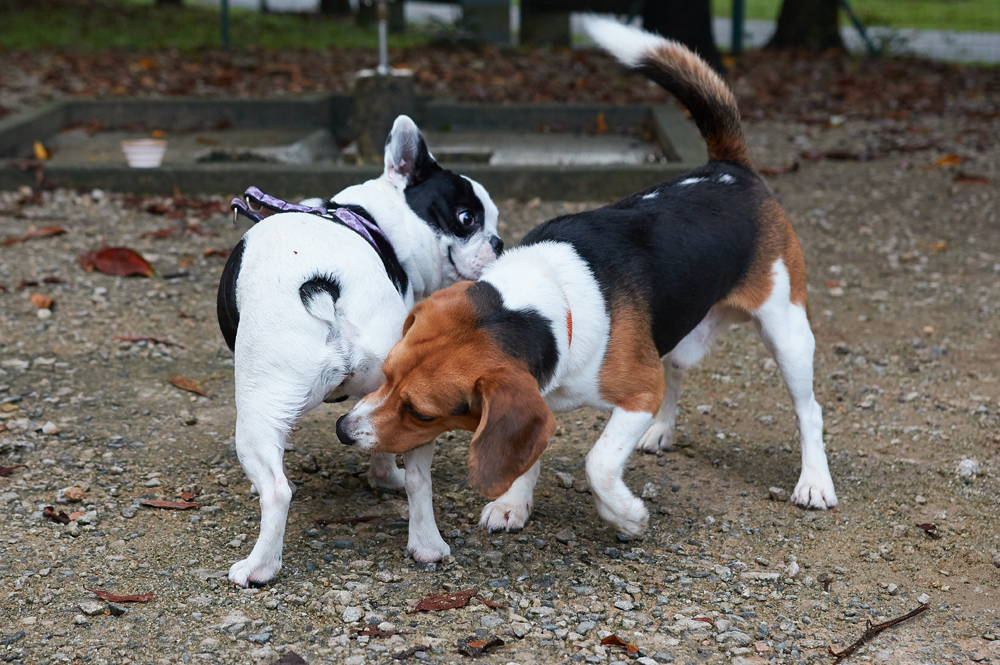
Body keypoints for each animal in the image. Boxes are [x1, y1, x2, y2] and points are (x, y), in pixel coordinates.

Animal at [217, 116, 500, 584]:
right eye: (467, 218)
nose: (498, 241)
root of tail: (326, 284)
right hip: (407, 396)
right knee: (419, 479)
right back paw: (427, 545)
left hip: (257, 407)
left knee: (276, 491)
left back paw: (258, 567)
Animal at [334, 18, 836, 560]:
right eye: (385, 374)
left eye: (420, 413)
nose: (343, 430)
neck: (542, 303)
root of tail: (729, 170)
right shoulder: (540, 394)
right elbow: (527, 454)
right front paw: (513, 503)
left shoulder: (638, 392)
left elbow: (598, 462)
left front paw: (627, 515)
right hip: (684, 335)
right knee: (677, 373)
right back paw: (661, 431)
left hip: (787, 329)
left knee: (809, 410)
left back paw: (814, 482)